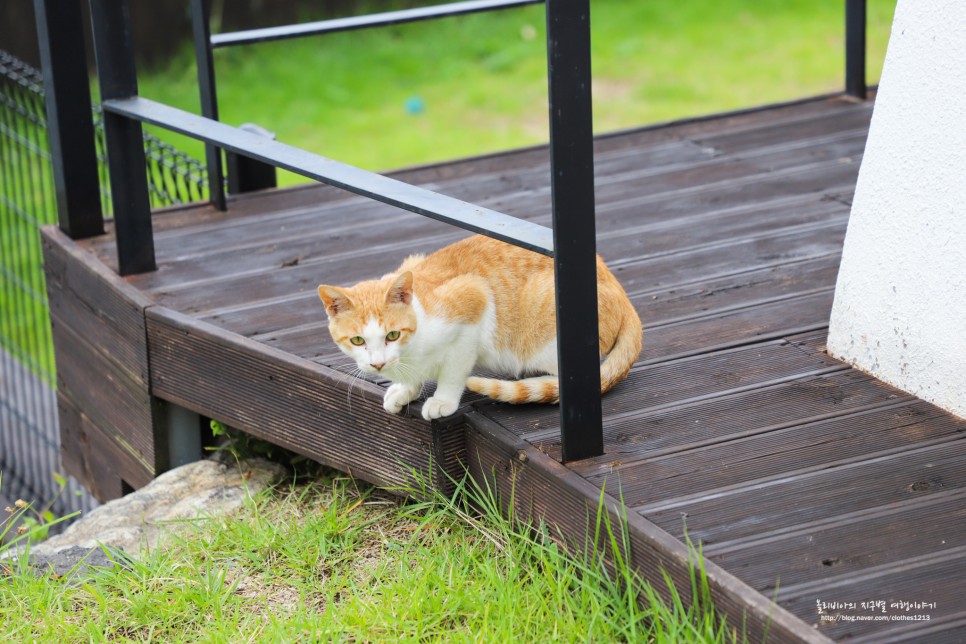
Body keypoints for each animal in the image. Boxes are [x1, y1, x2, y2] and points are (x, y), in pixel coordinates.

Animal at [322, 234, 648, 420]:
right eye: (357, 341)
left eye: (392, 335)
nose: (377, 364)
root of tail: (623, 294)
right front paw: (404, 390)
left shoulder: (473, 304)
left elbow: (453, 374)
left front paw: (442, 401)